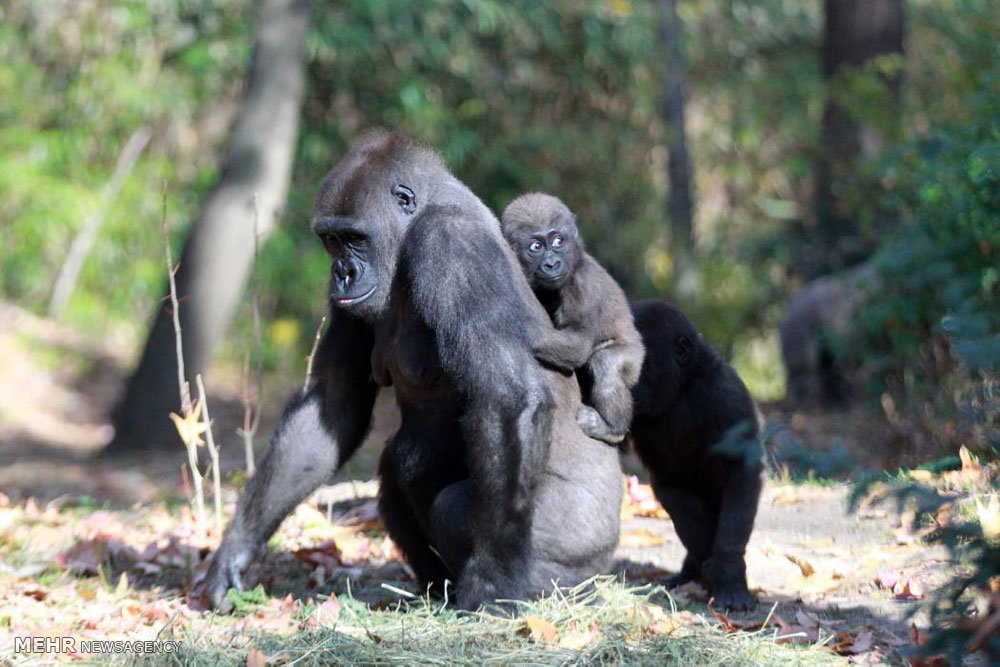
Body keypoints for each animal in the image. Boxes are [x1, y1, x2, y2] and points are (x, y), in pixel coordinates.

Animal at [202, 132, 620, 616]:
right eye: (331, 240)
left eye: (355, 239)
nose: (341, 274)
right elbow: (334, 405)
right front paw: (236, 549)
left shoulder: (450, 243)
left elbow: (509, 397)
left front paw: (493, 583)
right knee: (397, 471)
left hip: (583, 541)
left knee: (455, 507)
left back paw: (557, 588)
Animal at [498, 193, 640, 446]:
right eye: (536, 247)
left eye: (558, 241)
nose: (552, 264)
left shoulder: (582, 287)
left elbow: (578, 344)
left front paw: (518, 325)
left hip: (634, 358)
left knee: (606, 363)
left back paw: (612, 429)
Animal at [628, 302, 760, 612]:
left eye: (640, 362)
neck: (683, 385)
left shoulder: (724, 392)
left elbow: (741, 471)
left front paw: (728, 575)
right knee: (675, 495)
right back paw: (693, 569)